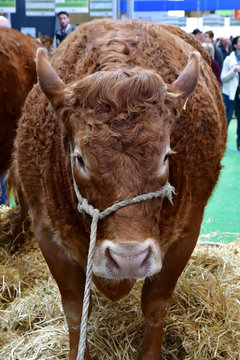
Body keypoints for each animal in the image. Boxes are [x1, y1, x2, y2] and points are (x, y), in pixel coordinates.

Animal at [12, 20, 227, 360]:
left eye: (166, 155)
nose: (129, 258)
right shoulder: (46, 232)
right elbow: (75, 310)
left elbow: (156, 304)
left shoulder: (187, 230)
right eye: (80, 158)